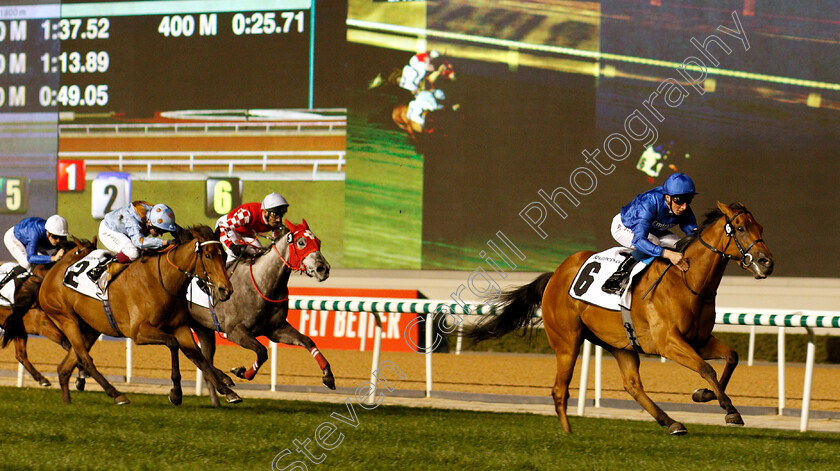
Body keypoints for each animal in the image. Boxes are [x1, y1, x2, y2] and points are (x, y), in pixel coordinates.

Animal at [0, 238, 97, 390]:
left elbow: (77, 347)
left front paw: (81, 377)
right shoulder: (44, 325)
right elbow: (69, 345)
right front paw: (82, 374)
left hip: (18, 330)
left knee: (21, 355)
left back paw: (42, 379)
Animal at [189, 219, 334, 408]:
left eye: (318, 242)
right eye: (301, 242)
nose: (323, 268)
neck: (262, 283)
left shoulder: (276, 329)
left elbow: (307, 341)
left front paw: (328, 376)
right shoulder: (234, 331)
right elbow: (262, 351)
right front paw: (242, 372)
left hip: (203, 328)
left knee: (204, 361)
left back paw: (220, 398)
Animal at [470, 202, 772, 436]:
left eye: (761, 228)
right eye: (740, 228)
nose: (766, 262)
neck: (687, 280)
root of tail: (555, 274)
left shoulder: (698, 339)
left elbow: (731, 357)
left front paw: (705, 395)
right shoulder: (668, 342)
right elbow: (706, 368)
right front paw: (730, 410)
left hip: (620, 343)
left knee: (632, 385)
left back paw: (671, 422)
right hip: (568, 341)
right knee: (559, 388)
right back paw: (568, 432)